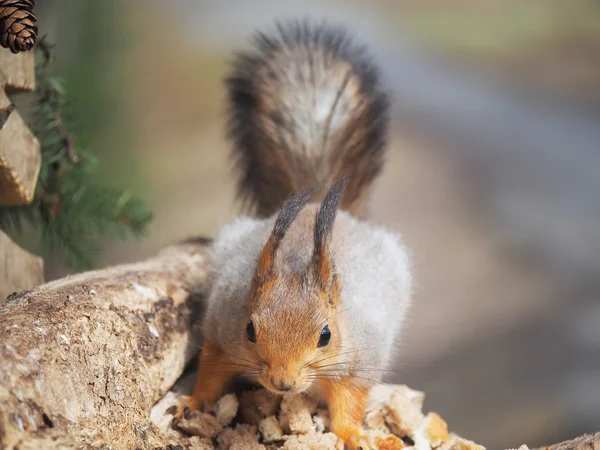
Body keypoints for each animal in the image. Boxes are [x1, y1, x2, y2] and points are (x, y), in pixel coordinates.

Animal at [178, 19, 412, 448]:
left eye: (326, 335)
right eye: (250, 329)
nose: (282, 383)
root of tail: (313, 202)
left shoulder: (358, 362)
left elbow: (350, 400)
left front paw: (352, 433)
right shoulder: (222, 331)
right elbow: (211, 371)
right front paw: (194, 402)